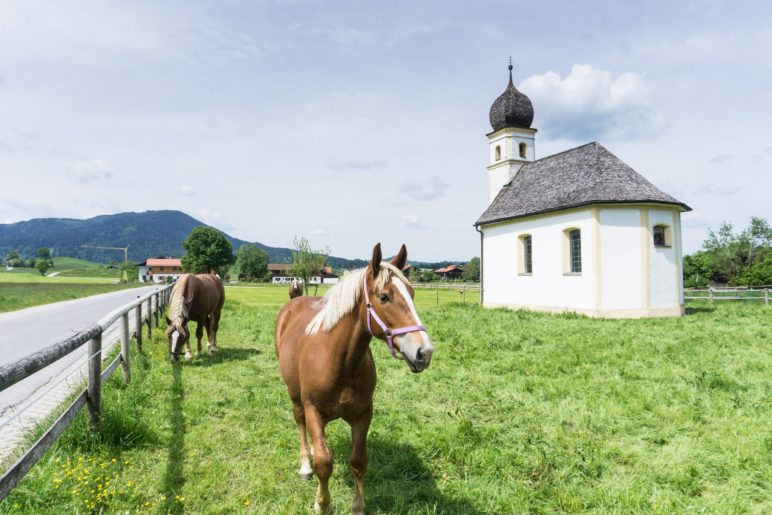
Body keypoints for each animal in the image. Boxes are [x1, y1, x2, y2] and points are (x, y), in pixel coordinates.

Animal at [276, 244, 434, 512]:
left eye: (412, 293)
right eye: (384, 297)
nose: (424, 352)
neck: (340, 361)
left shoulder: (363, 414)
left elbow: (358, 461)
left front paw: (358, 506)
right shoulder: (313, 409)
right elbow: (324, 463)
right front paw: (323, 503)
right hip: (295, 396)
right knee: (300, 424)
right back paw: (305, 465)